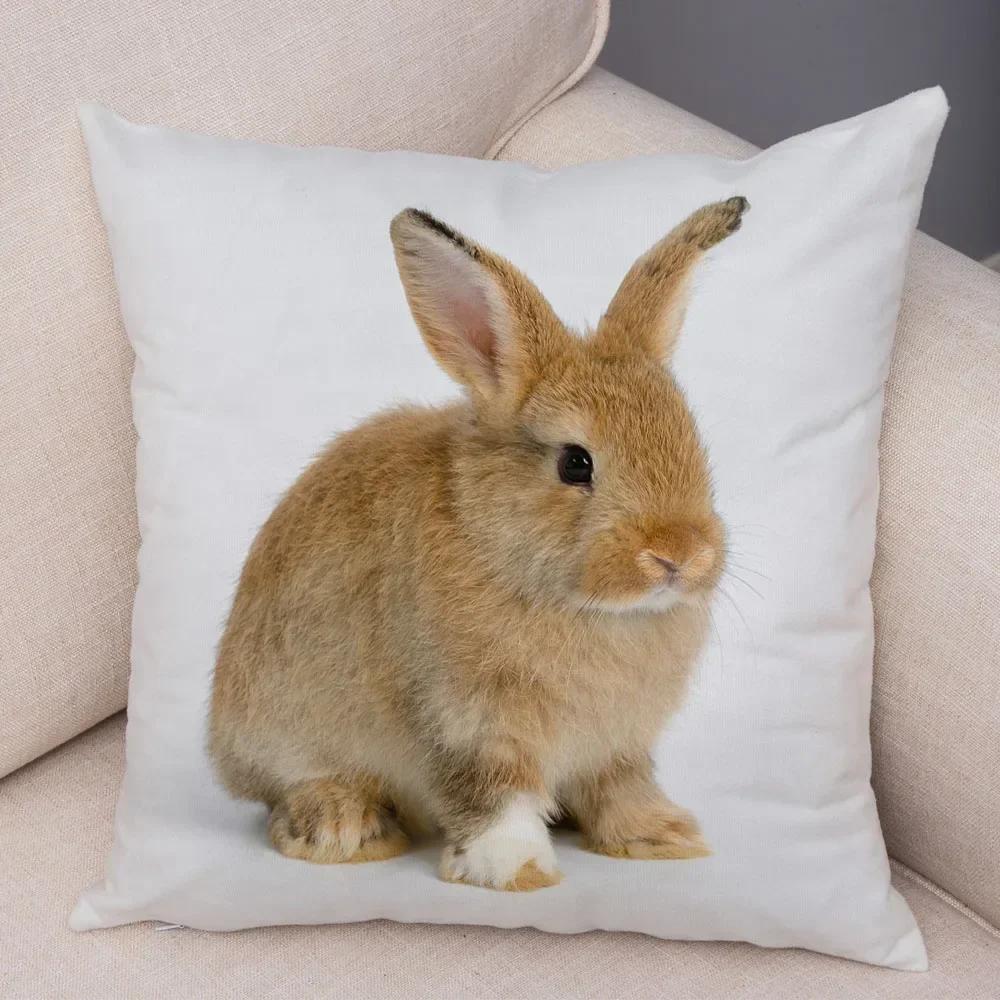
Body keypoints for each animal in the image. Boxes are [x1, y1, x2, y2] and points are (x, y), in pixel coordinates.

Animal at [208, 196, 748, 892]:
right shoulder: (467, 722)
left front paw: (661, 837)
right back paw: (345, 827)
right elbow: (496, 796)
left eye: (691, 439)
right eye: (575, 463)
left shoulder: (616, 745)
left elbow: (621, 787)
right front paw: (517, 870)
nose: (680, 556)